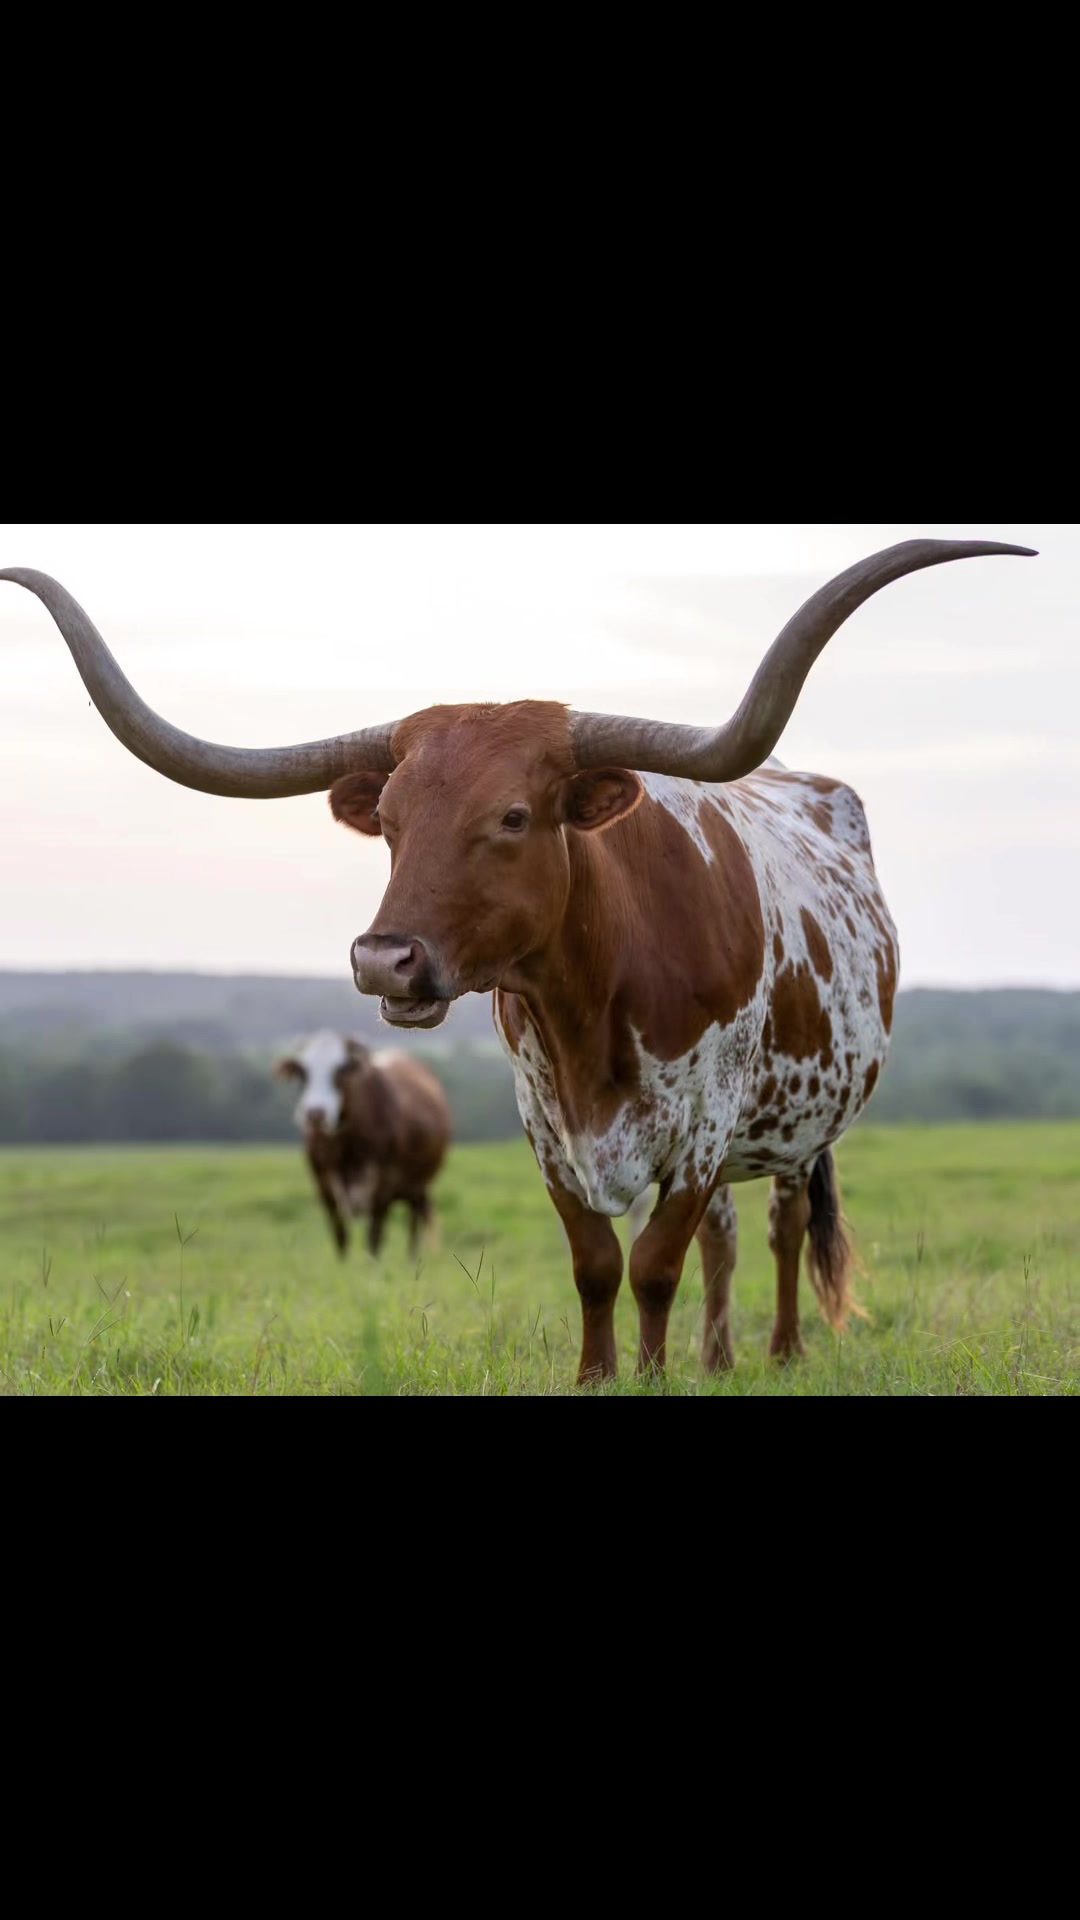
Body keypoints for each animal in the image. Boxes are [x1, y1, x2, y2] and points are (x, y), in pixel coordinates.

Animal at [274, 1031, 451, 1256]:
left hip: (419, 1186)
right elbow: (340, 1236)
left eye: (340, 1070)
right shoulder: (323, 1185)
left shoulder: (383, 1184)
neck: (345, 1149)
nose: (315, 1113)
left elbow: (374, 1238)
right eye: (304, 1073)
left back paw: (412, 1258)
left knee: (414, 1225)